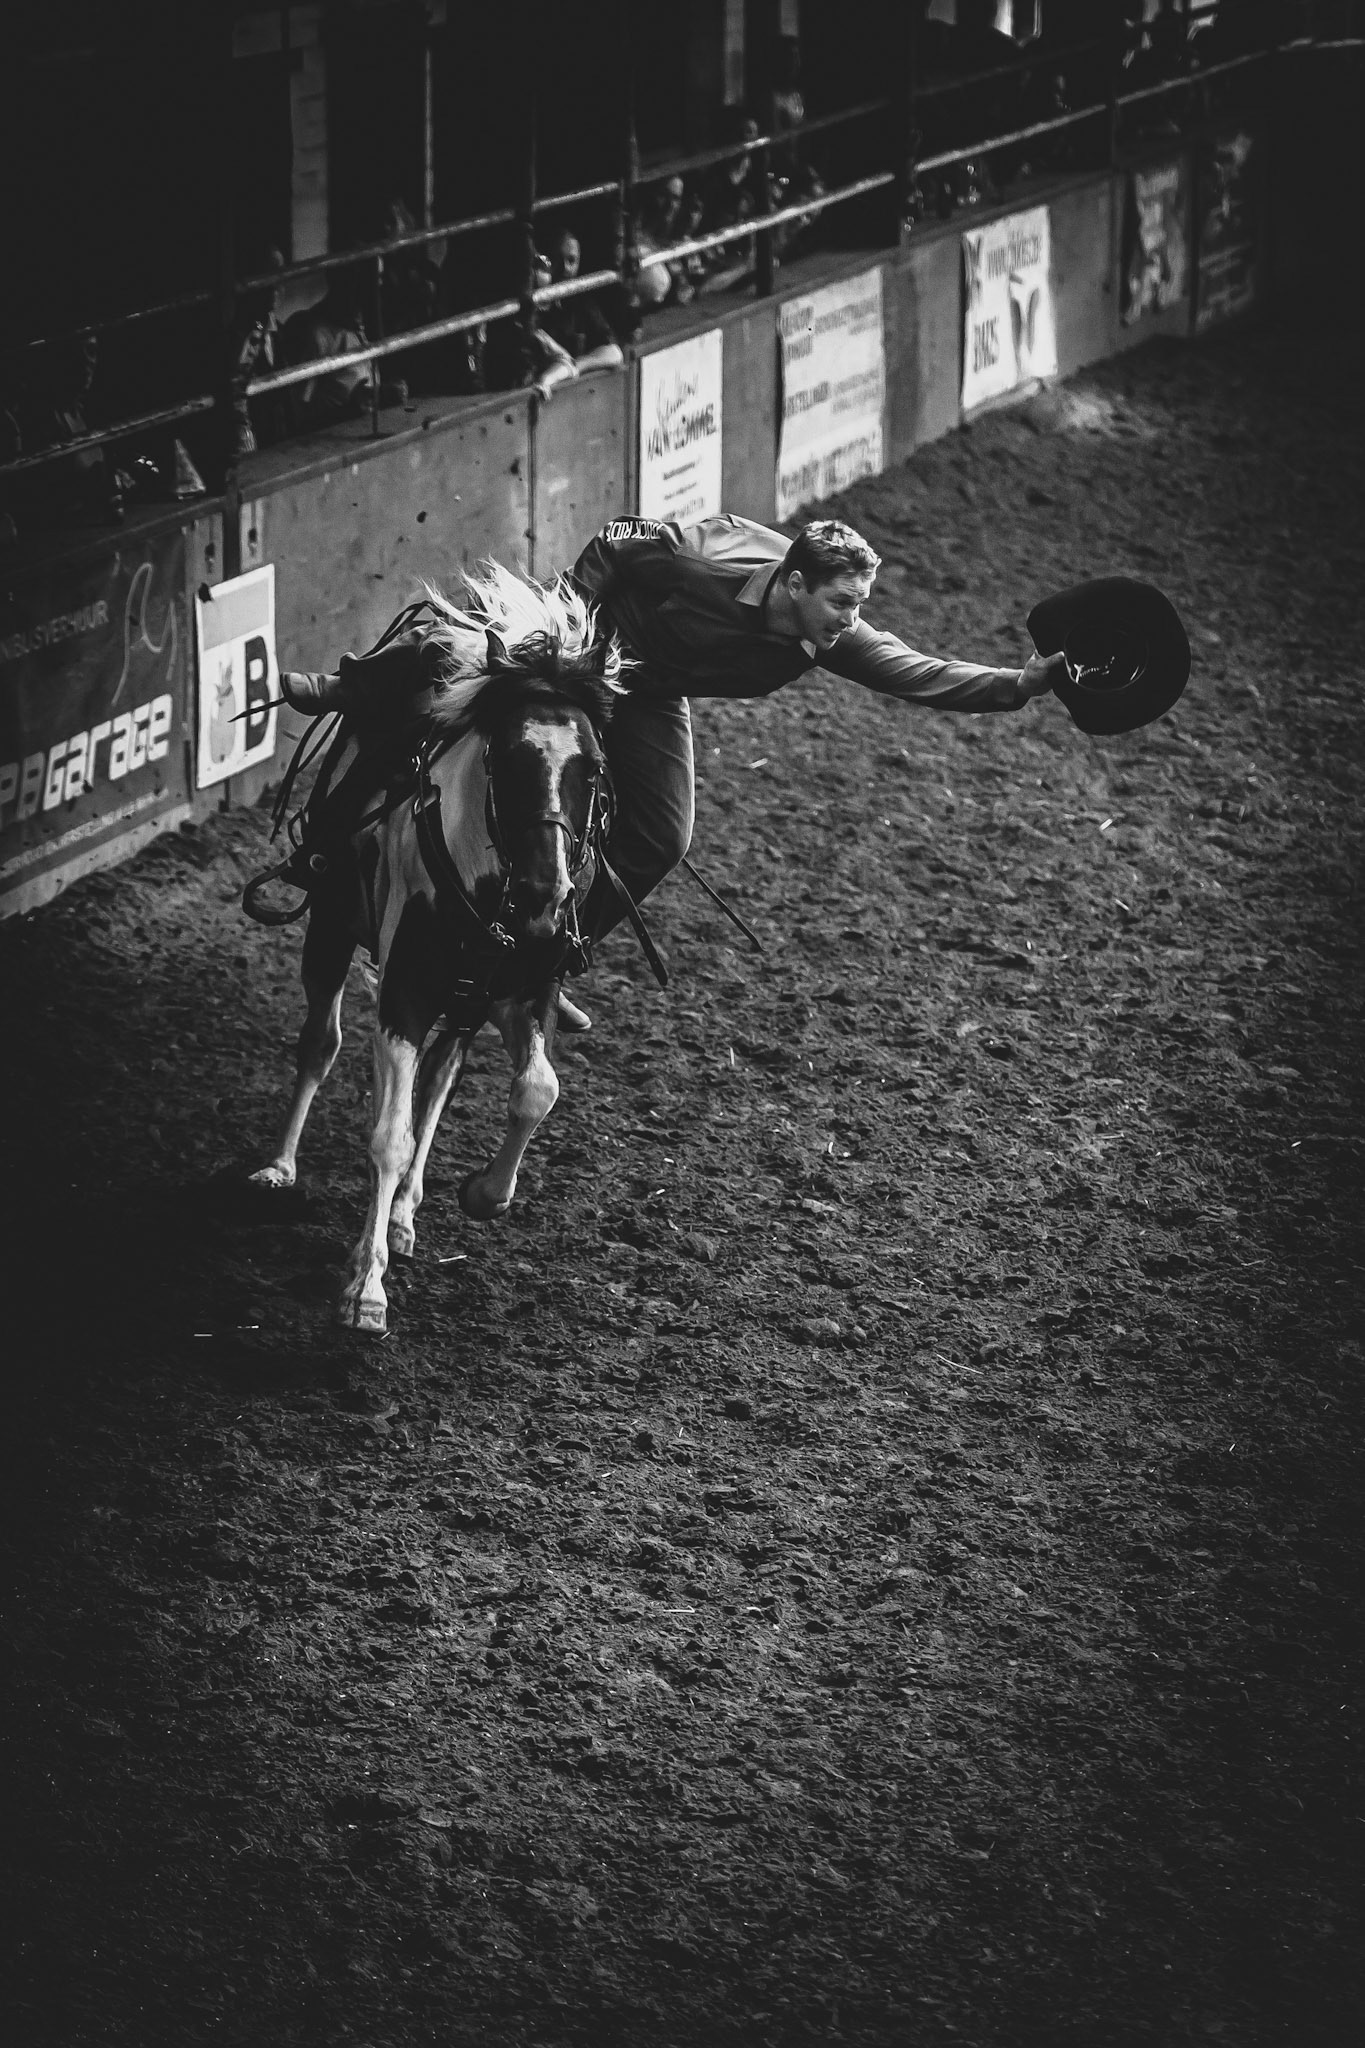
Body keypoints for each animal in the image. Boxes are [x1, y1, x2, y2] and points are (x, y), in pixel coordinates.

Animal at [247, 566, 625, 1335]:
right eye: (507, 758)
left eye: (594, 767)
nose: (547, 891)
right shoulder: (406, 993)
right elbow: (386, 1134)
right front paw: (365, 1291)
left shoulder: (523, 989)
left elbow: (536, 1090)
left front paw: (482, 1194)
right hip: (330, 927)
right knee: (320, 1043)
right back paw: (280, 1167)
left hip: (467, 1001)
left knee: (440, 1078)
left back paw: (402, 1216)